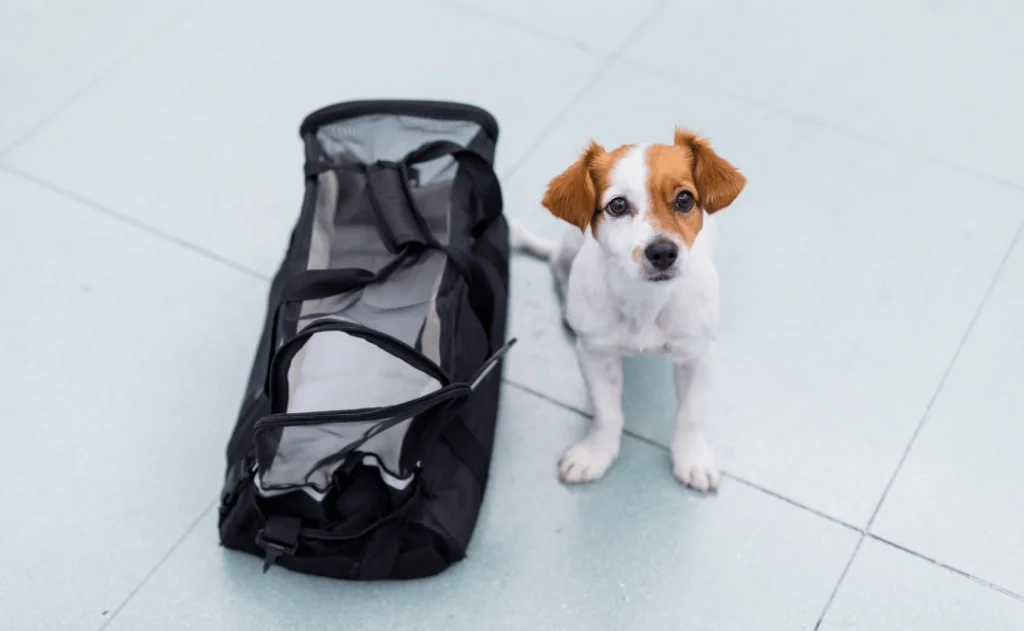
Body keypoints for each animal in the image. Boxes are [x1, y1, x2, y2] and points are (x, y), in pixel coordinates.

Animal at [509, 128, 745, 493]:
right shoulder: (595, 354)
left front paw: (691, 457)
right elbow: (607, 413)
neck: (646, 301)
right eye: (617, 205)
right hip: (569, 247)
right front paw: (596, 452)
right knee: (555, 262)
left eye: (685, 199)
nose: (662, 252)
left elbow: (689, 414)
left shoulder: (698, 354)